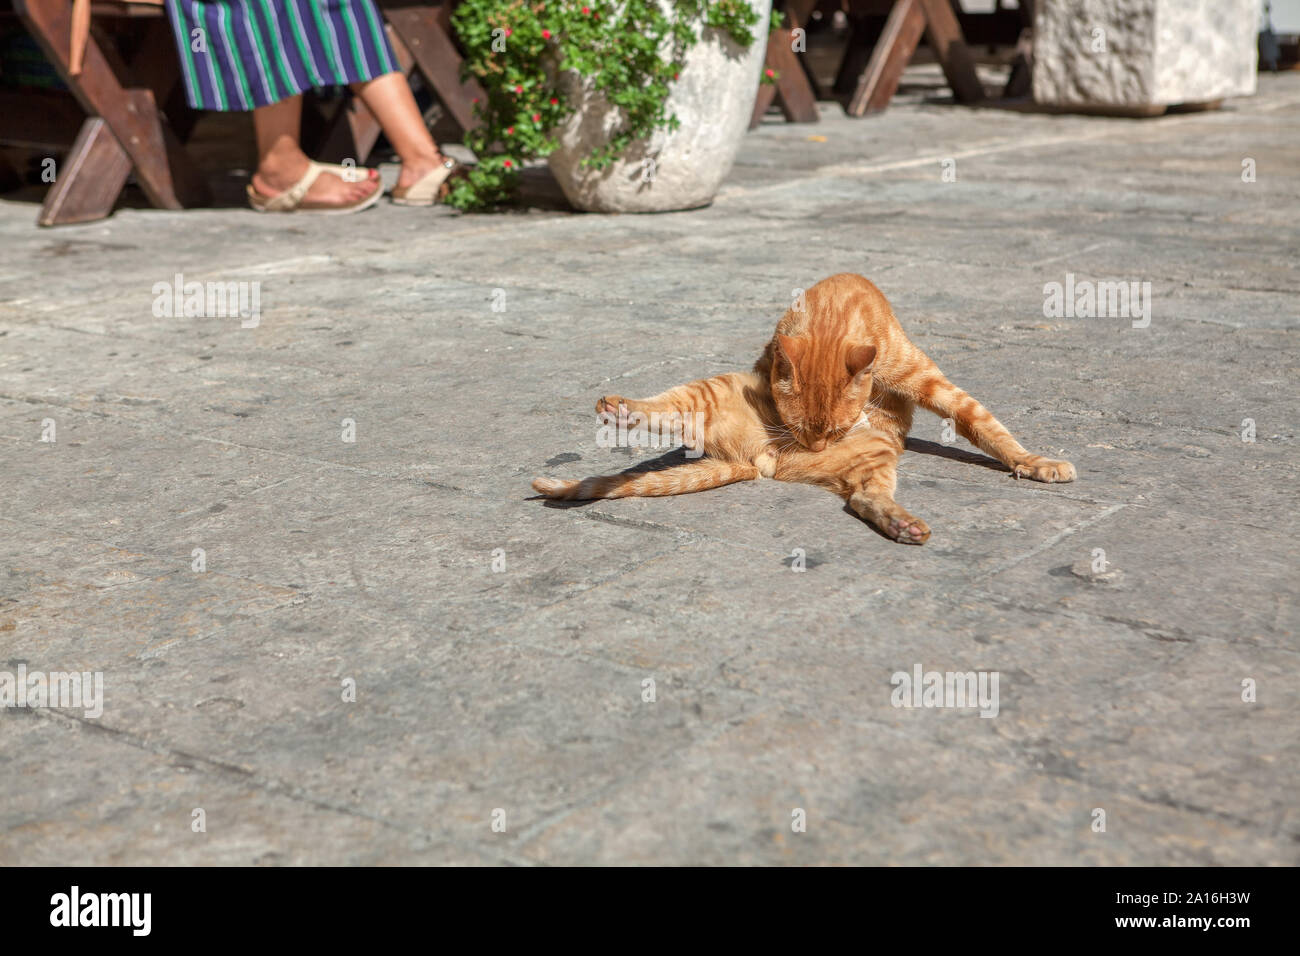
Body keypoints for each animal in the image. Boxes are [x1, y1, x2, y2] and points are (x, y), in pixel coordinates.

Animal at [533, 273, 1081, 541]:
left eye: (835, 430)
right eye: (798, 426)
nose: (813, 447)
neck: (835, 310)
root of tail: (766, 463)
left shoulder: (925, 379)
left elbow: (986, 425)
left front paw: (1034, 462)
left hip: (876, 454)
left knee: (864, 498)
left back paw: (900, 524)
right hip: (711, 389)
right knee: (660, 410)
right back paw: (620, 409)